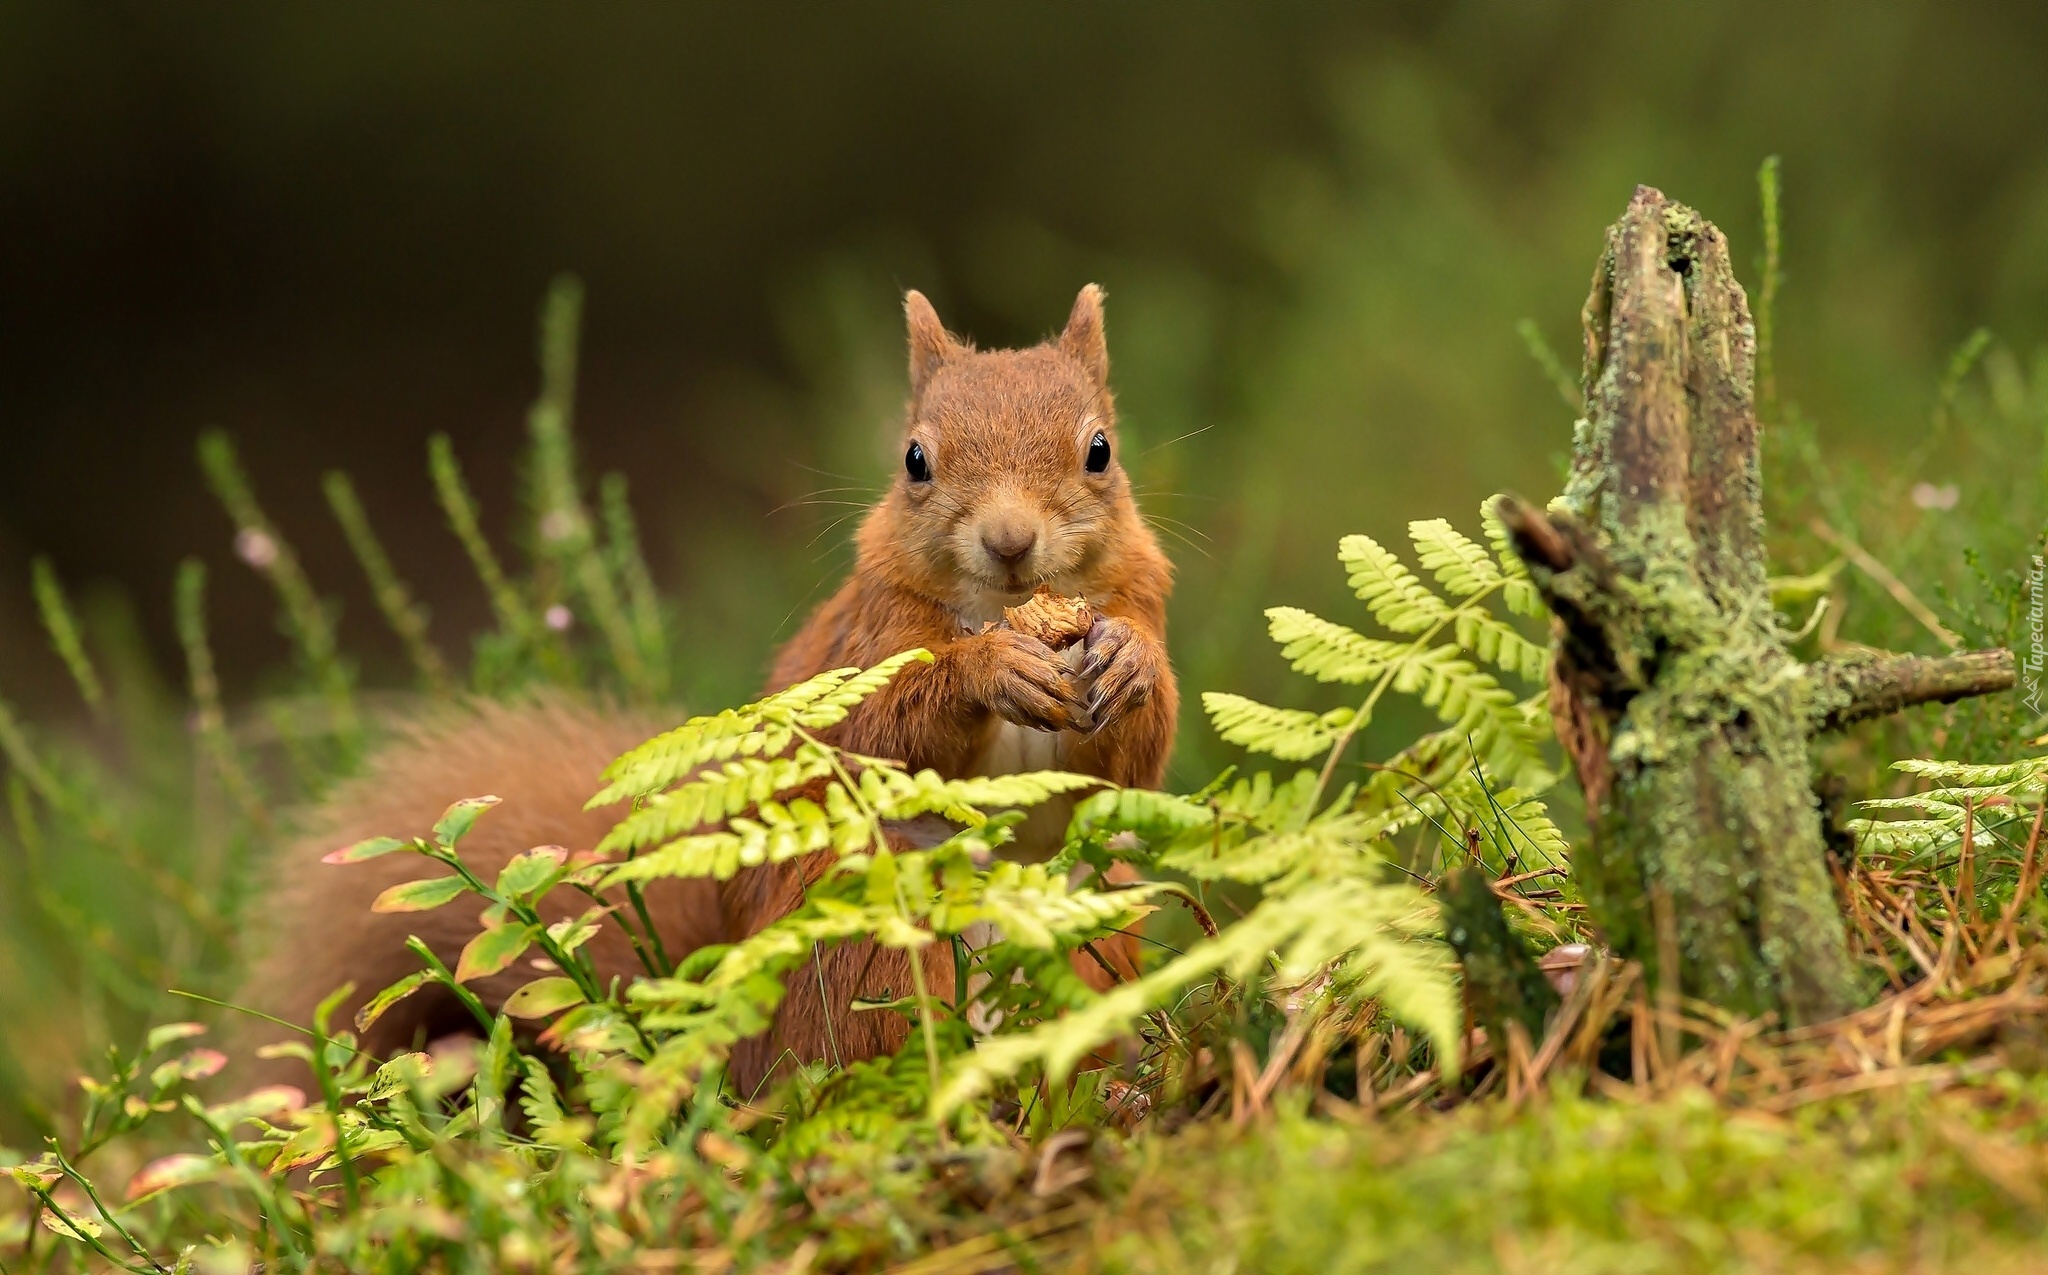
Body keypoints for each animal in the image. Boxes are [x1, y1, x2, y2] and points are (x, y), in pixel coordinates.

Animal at [251, 284, 1187, 1088]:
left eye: (1100, 450)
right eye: (914, 459)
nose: (1009, 539)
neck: (1004, 608)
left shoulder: (1137, 603)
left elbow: (1124, 765)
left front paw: (1130, 662)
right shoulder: (868, 641)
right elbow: (885, 733)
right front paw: (988, 670)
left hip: (1092, 924)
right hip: (872, 942)